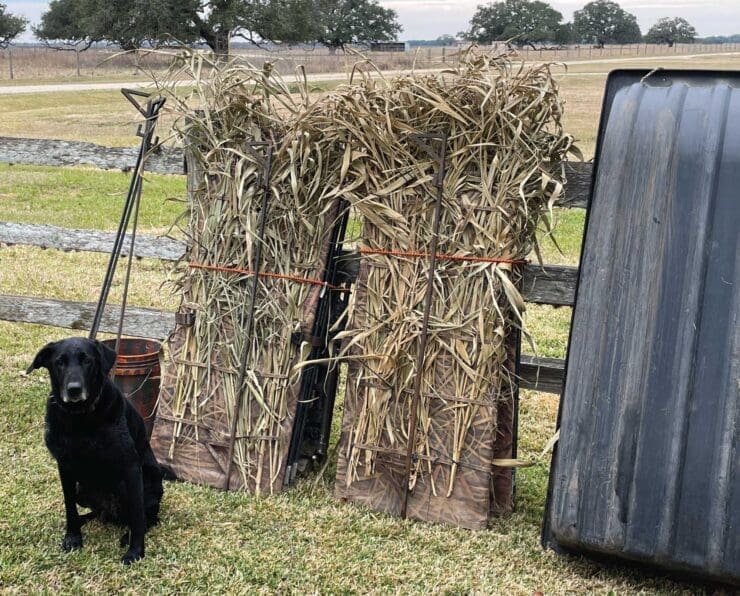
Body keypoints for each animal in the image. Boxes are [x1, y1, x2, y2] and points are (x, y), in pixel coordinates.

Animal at [27, 338, 165, 564]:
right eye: (59, 362)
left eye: (87, 361)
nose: (74, 390)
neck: (79, 417)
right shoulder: (64, 466)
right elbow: (69, 507)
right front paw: (73, 537)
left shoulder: (130, 467)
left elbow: (138, 516)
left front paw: (136, 551)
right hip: (81, 490)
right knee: (94, 512)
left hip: (137, 487)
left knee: (148, 518)